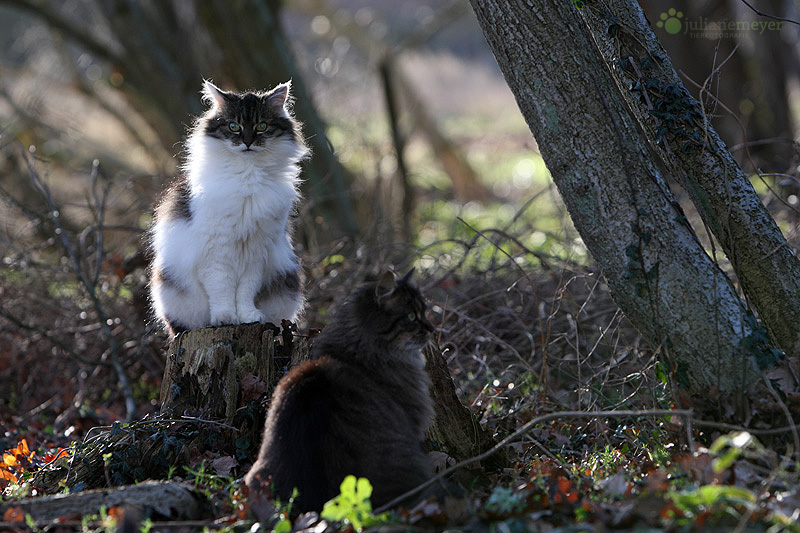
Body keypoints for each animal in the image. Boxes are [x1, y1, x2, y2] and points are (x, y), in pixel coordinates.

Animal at [148, 81, 308, 334]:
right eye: (234, 126)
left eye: (261, 126)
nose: (248, 142)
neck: (247, 177)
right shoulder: (215, 254)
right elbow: (221, 289)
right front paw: (225, 318)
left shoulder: (256, 254)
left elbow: (245, 292)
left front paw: (248, 317)